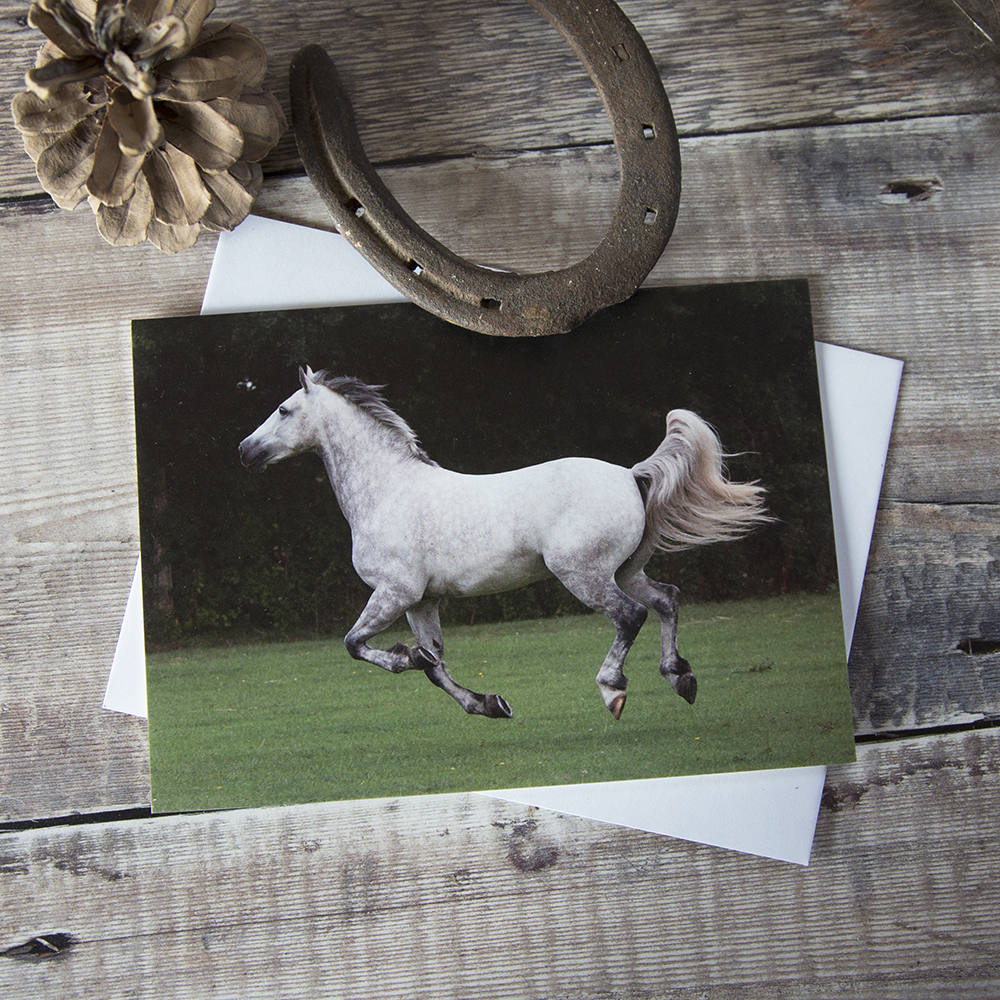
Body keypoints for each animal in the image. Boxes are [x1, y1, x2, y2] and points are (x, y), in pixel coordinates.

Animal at [238, 366, 770, 720]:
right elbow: (435, 666)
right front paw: (489, 704)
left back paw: (613, 690)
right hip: (625, 570)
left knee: (630, 616)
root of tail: (630, 475)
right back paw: (681, 677)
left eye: (284, 409)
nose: (245, 450)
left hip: (583, 573)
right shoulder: (422, 601)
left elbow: (354, 644)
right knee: (666, 601)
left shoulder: (394, 592)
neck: (387, 491)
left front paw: (403, 658)